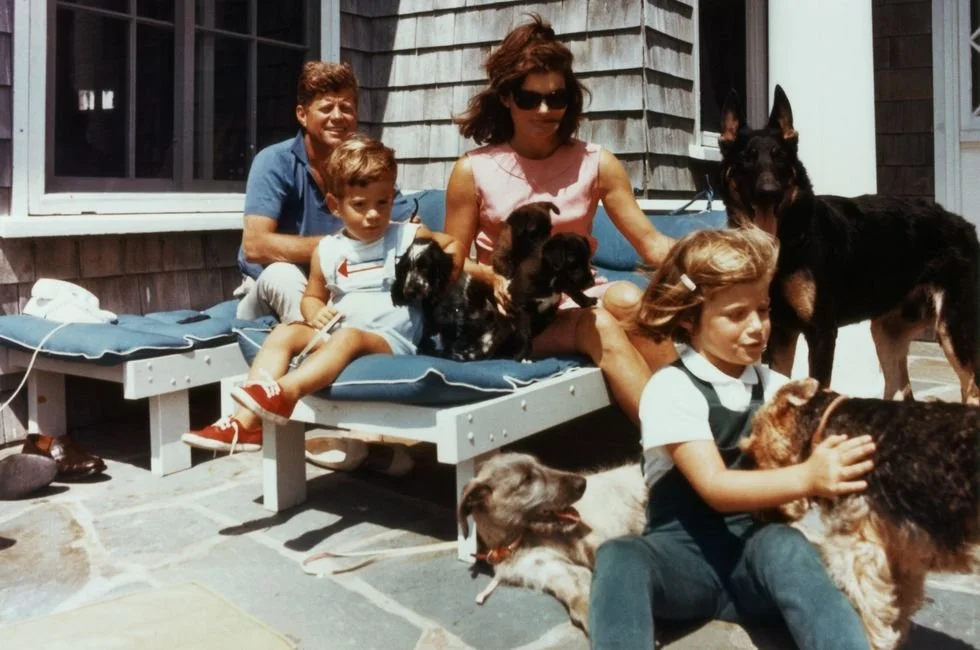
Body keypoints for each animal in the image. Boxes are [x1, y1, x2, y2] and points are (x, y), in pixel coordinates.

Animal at [716, 85, 976, 400]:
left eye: (779, 158)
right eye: (747, 158)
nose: (769, 192)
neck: (791, 238)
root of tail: (964, 224)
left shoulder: (821, 333)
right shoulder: (780, 332)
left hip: (953, 330)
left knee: (971, 389)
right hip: (887, 333)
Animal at [740, 374, 976, 648]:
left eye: (750, 450)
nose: (756, 514)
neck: (825, 427)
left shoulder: (857, 548)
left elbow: (871, 614)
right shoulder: (901, 553)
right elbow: (897, 610)